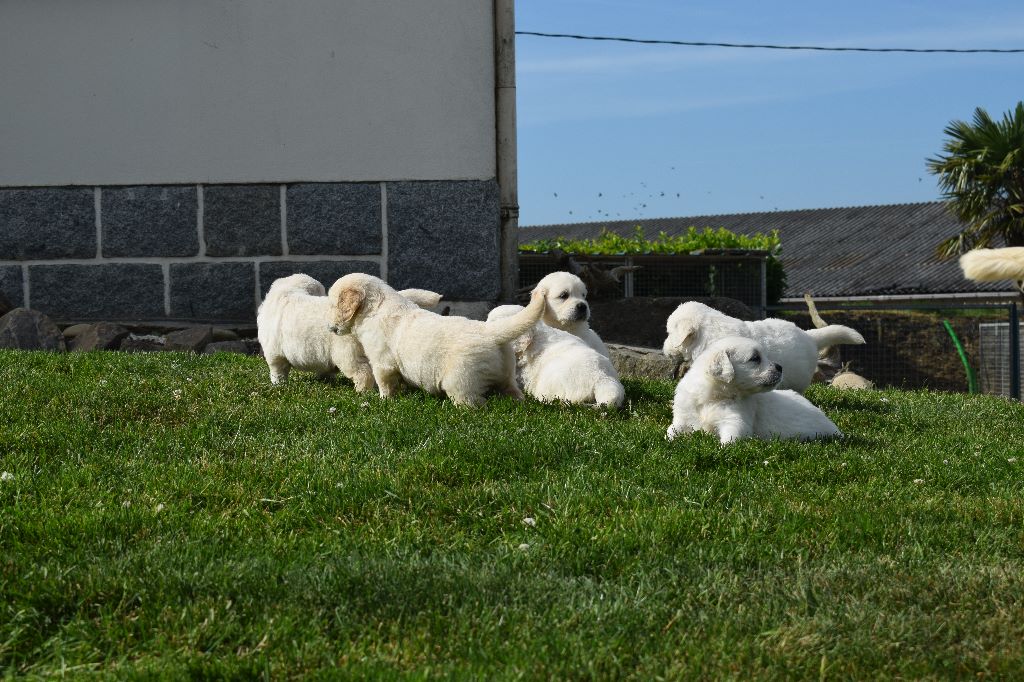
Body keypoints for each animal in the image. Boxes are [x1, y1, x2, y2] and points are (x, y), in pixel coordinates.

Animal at [256, 270, 440, 387]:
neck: (287, 291)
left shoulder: (274, 353)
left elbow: (277, 370)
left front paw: (278, 385)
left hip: (346, 353)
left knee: (363, 373)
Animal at [329, 272, 552, 409]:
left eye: (333, 305)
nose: (330, 328)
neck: (376, 308)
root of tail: (490, 331)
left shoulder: (383, 363)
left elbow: (384, 383)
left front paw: (384, 400)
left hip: (461, 379)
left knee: (474, 403)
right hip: (506, 374)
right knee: (514, 393)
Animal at [663, 335, 839, 444]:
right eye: (755, 358)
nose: (780, 367)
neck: (712, 397)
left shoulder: (736, 420)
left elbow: (730, 440)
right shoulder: (682, 417)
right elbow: (671, 431)